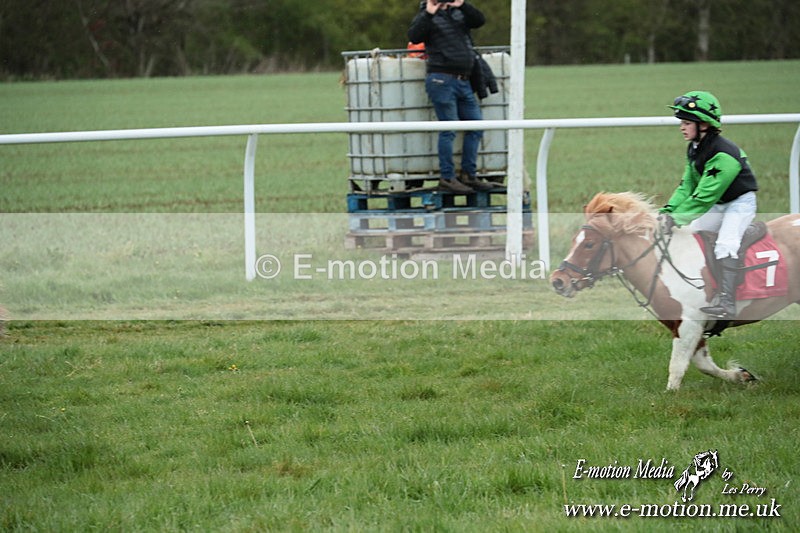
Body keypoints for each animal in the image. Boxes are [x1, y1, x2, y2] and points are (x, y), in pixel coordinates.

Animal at [550, 192, 800, 390]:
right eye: (574, 240)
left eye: (589, 244)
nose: (558, 281)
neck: (663, 266)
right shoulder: (687, 326)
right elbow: (703, 364)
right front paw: (740, 375)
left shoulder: (689, 322)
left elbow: (677, 366)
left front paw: (670, 395)